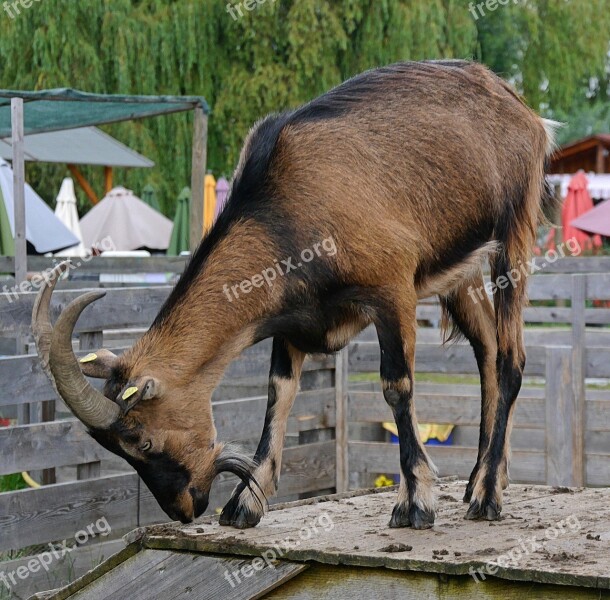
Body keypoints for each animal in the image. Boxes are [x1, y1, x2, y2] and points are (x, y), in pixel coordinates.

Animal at [33, 59, 556, 528]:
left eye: (141, 440)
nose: (185, 508)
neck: (284, 210)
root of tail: (526, 114)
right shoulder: (291, 316)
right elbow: (278, 393)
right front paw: (245, 504)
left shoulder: (392, 289)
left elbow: (396, 386)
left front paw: (415, 503)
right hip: (459, 272)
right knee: (486, 350)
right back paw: (483, 479)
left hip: (514, 233)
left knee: (511, 359)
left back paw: (486, 496)